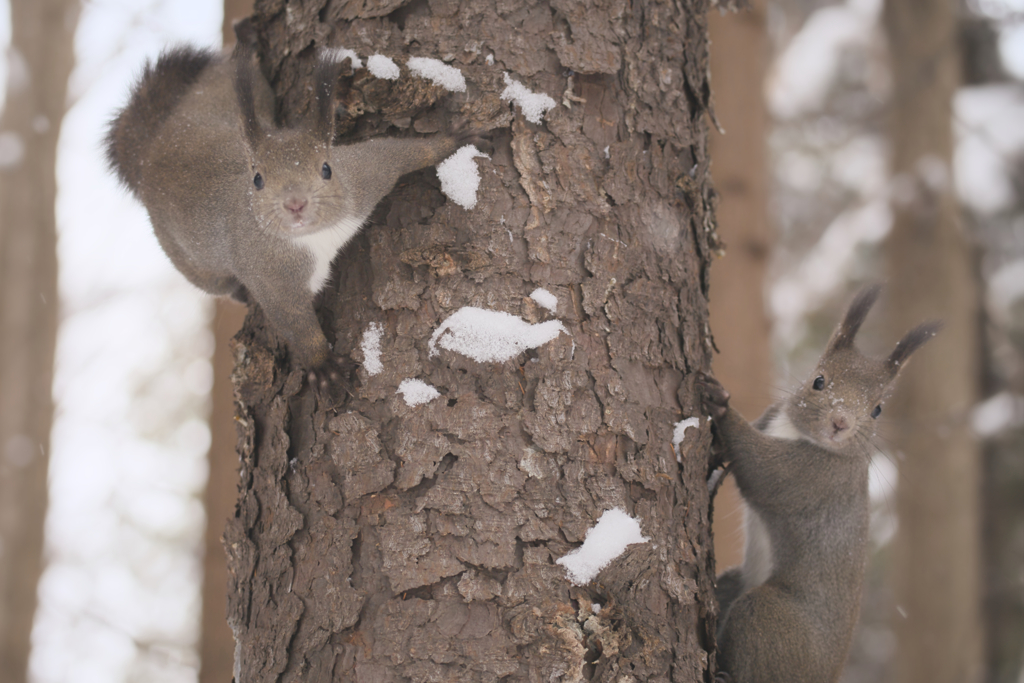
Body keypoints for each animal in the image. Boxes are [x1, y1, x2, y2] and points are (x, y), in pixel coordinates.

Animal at [108, 44, 483, 389]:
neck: (314, 236)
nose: (295, 204)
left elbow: (403, 152)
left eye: (326, 168)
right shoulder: (270, 276)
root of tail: (153, 149)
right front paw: (323, 365)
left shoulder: (364, 177)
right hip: (192, 262)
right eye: (257, 179)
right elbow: (296, 324)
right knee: (217, 283)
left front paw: (451, 138)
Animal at [700, 284, 937, 683]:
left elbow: (760, 470)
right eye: (818, 380)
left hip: (768, 619)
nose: (840, 423)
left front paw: (722, 407)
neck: (800, 433)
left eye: (877, 409)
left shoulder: (811, 478)